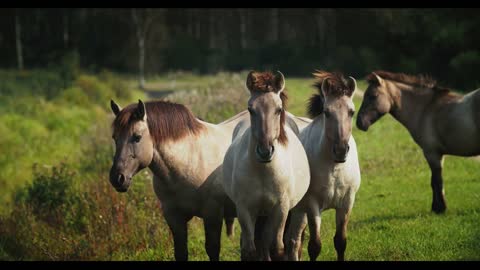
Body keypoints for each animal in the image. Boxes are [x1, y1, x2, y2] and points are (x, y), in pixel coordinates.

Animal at [108, 98, 249, 260]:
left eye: (137, 137)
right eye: (115, 138)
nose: (117, 178)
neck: (188, 159)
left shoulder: (212, 214)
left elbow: (212, 249)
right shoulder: (174, 217)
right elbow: (181, 252)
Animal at [222, 70, 310, 260]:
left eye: (278, 109)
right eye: (251, 109)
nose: (265, 151)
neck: (263, 171)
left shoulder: (280, 210)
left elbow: (277, 248)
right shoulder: (245, 210)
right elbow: (250, 250)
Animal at [284, 70, 360, 262]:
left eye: (352, 112)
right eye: (326, 112)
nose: (341, 150)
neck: (334, 168)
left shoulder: (346, 203)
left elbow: (340, 241)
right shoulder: (313, 206)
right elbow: (315, 246)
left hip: (298, 212)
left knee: (293, 241)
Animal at [354, 70, 480, 214]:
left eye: (373, 96)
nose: (359, 123)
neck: (425, 110)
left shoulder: (432, 153)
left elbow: (436, 181)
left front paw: (439, 208)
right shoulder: (438, 154)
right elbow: (435, 181)